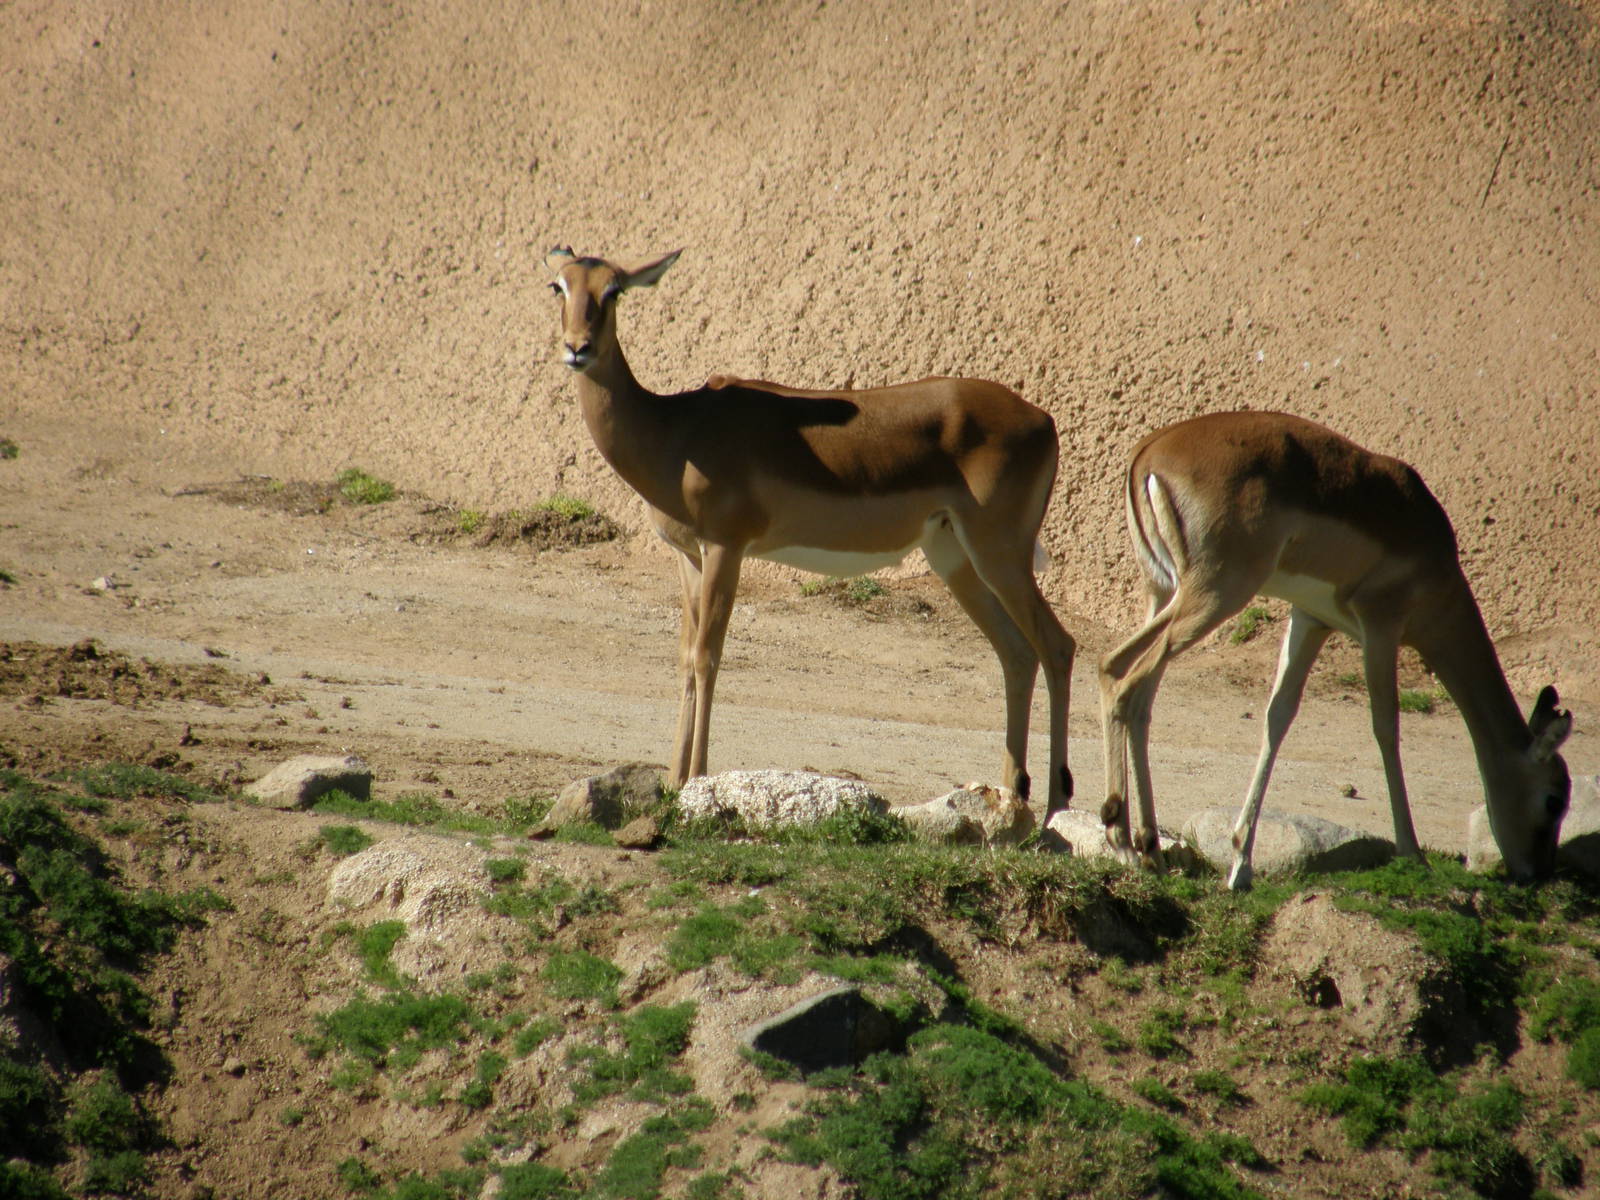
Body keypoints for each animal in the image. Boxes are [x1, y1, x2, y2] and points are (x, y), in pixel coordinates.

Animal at [545, 247, 1078, 812]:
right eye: (559, 286)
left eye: (613, 291)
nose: (577, 348)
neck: (674, 433)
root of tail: (1043, 419)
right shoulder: (688, 556)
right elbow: (686, 657)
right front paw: (672, 782)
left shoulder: (726, 548)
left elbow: (710, 656)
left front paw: (697, 781)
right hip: (955, 557)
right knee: (1017, 654)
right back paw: (1013, 796)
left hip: (1000, 552)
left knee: (1058, 647)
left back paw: (1056, 807)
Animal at [1098, 410, 1573, 889]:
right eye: (1554, 800)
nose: (1538, 875)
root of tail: (1149, 452)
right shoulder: (1381, 625)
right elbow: (1386, 726)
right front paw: (1412, 854)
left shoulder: (1310, 620)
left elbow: (1277, 716)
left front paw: (1240, 865)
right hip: (1215, 596)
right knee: (1123, 677)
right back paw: (1123, 842)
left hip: (1166, 593)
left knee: (1126, 683)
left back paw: (1148, 850)